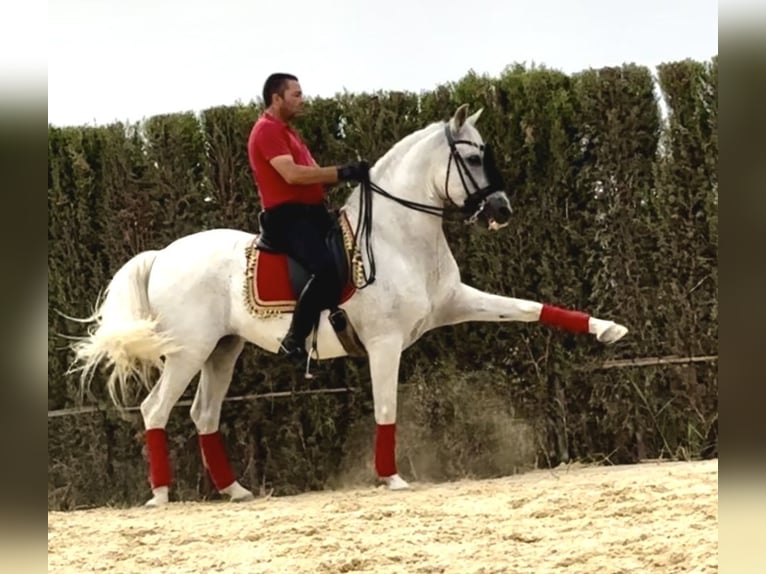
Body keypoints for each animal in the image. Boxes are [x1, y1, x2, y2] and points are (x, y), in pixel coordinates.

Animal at [67, 103, 632, 508]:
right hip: (189, 350)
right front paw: (392, 477)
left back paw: (236, 491)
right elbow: (386, 406)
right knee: (155, 409)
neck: (399, 236)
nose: (501, 210)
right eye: (472, 158)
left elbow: (530, 308)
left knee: (204, 414)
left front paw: (607, 330)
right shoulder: (384, 343)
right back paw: (161, 495)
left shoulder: (456, 302)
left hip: (222, 350)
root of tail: (162, 255)